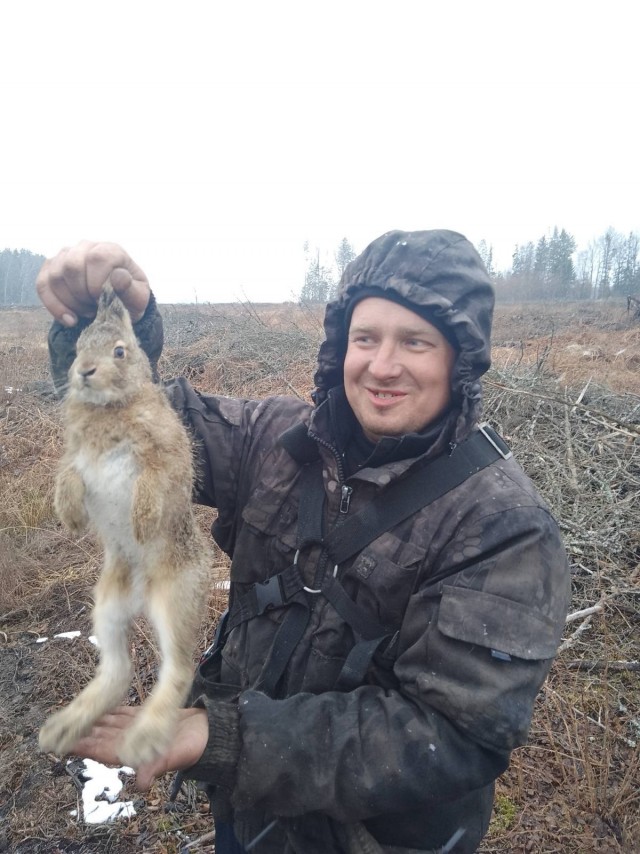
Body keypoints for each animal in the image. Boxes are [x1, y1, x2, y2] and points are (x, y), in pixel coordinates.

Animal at [39, 283, 211, 768]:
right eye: (79, 345)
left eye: (120, 351)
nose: (84, 372)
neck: (111, 407)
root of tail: (141, 596)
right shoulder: (76, 458)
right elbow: (68, 475)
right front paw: (71, 515)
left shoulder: (165, 454)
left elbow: (154, 478)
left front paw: (143, 520)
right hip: (108, 605)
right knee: (118, 668)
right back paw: (62, 728)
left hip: (176, 597)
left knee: (179, 666)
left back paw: (144, 739)